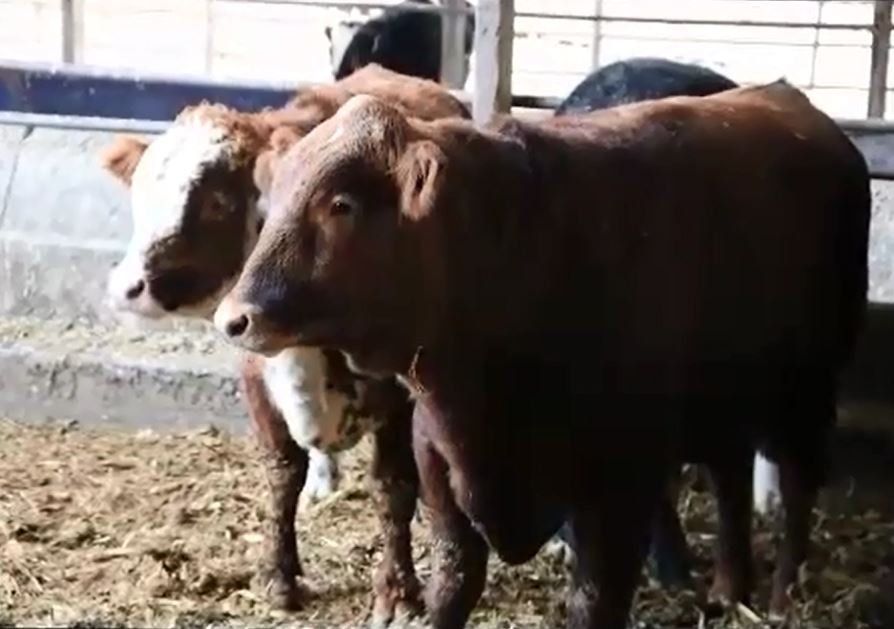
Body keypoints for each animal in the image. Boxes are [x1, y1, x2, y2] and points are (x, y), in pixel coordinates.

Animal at [100, 63, 468, 624]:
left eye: (217, 201)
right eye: (140, 196)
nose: (127, 287)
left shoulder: (401, 390)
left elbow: (393, 486)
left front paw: (397, 591)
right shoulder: (255, 375)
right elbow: (281, 474)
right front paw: (278, 575)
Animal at [214, 84, 872, 628]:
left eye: (341, 204)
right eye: (270, 201)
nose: (233, 318)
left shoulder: (621, 489)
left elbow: (594, 602)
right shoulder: (439, 468)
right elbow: (452, 582)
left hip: (806, 393)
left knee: (798, 485)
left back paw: (783, 597)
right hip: (724, 405)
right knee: (732, 479)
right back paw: (729, 590)